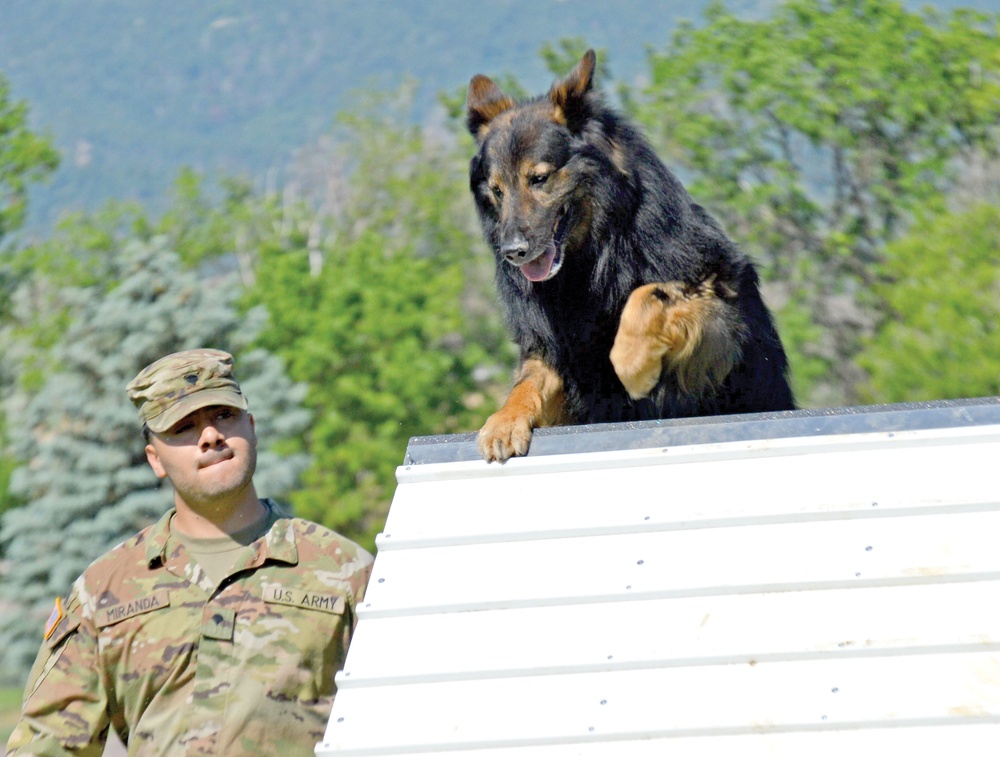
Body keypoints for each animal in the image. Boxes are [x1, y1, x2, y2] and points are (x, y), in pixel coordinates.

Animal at [464, 50, 792, 460]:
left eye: (538, 179)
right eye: (497, 190)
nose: (513, 253)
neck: (594, 252)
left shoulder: (717, 300)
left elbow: (646, 297)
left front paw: (632, 363)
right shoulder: (557, 350)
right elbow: (528, 381)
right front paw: (504, 419)